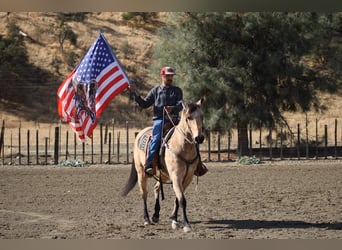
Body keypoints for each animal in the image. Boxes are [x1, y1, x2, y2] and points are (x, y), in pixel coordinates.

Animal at [121, 97, 204, 232]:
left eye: (202, 116)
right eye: (188, 117)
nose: (199, 138)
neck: (182, 147)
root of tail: (139, 134)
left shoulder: (188, 178)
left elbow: (178, 199)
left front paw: (175, 220)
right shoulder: (176, 176)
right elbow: (182, 200)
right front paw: (186, 224)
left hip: (163, 174)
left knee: (156, 188)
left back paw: (155, 215)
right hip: (141, 173)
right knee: (144, 194)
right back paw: (147, 219)